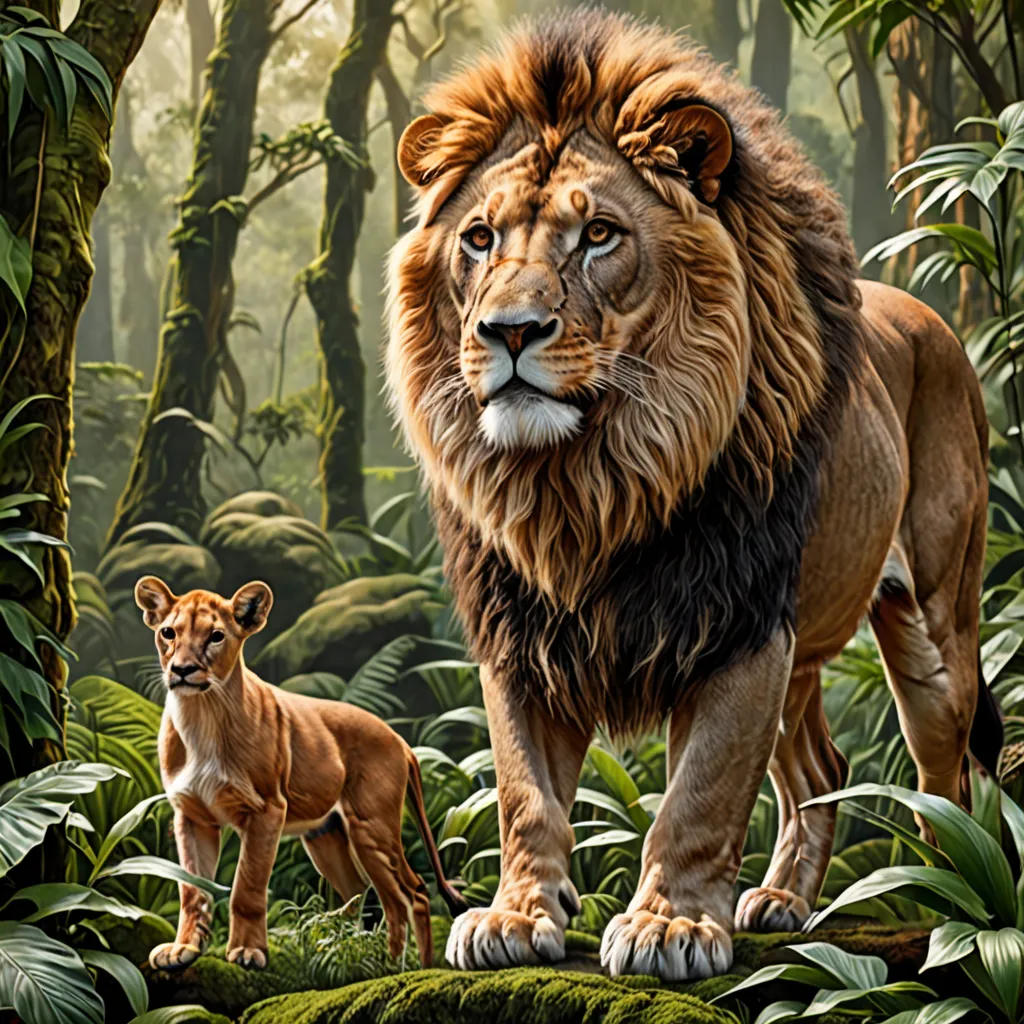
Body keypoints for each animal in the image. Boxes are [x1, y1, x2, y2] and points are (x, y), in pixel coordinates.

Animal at [134, 576, 464, 972]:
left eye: (216, 636)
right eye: (168, 633)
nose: (182, 669)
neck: (201, 714)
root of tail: (400, 740)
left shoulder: (267, 810)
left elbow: (247, 886)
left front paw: (247, 952)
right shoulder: (192, 816)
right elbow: (191, 889)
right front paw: (183, 949)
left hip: (372, 826)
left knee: (413, 892)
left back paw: (417, 969)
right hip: (326, 835)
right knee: (368, 893)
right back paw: (376, 963)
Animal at [385, 8, 1002, 981]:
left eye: (599, 234)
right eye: (479, 238)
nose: (509, 331)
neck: (589, 480)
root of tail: (931, 318)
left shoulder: (739, 621)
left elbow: (700, 792)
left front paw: (669, 926)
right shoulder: (519, 629)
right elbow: (524, 789)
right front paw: (517, 915)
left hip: (935, 628)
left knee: (946, 776)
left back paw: (952, 905)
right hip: (805, 650)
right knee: (821, 770)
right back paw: (784, 901)